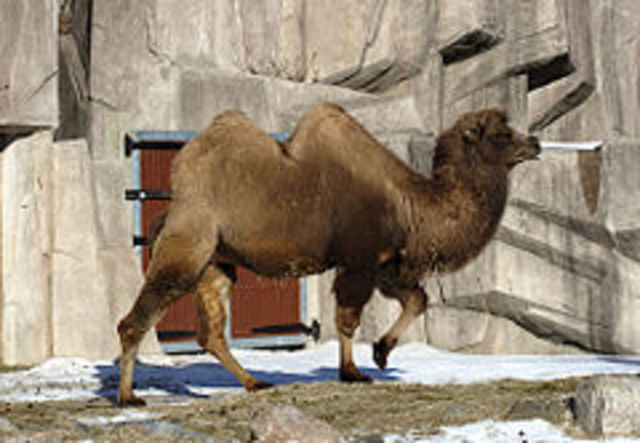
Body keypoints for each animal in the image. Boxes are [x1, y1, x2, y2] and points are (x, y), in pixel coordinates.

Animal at [117, 103, 540, 406]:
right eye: (501, 134)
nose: (535, 142)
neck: (410, 205)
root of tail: (173, 202)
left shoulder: (385, 264)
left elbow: (417, 299)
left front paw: (382, 352)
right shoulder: (359, 260)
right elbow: (348, 319)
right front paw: (353, 372)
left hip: (217, 262)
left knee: (211, 333)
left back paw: (256, 383)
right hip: (189, 245)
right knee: (138, 317)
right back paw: (128, 397)